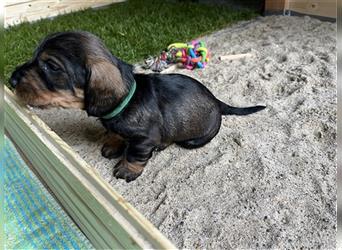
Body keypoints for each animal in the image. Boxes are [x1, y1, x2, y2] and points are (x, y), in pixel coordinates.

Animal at [9, 31, 266, 182]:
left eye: (52, 66)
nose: (11, 80)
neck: (126, 100)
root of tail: (216, 100)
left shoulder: (143, 140)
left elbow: (134, 154)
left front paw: (126, 170)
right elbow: (114, 134)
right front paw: (113, 144)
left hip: (194, 139)